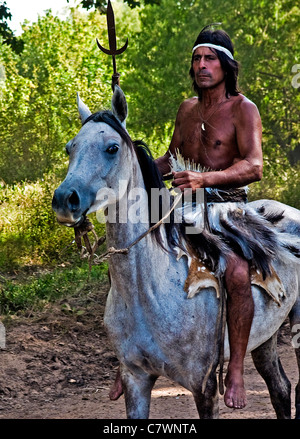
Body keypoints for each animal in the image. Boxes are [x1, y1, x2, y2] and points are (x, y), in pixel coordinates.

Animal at [52, 86, 300, 420]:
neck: (147, 291)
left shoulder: (203, 385)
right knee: (280, 389)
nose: (65, 199)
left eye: (112, 148)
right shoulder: (136, 379)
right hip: (265, 338)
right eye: (70, 148)